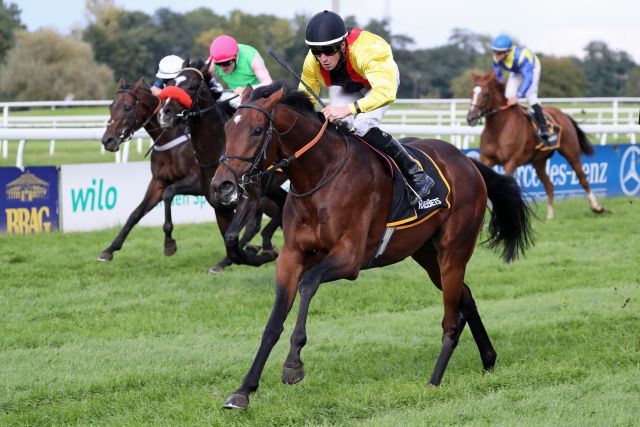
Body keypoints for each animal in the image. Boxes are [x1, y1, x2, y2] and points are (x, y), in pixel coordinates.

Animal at [210, 84, 536, 412]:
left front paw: (293, 365)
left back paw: (434, 381)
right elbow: (273, 323)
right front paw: (244, 390)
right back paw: (488, 359)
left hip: (453, 251)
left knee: (451, 319)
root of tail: (467, 161)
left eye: (257, 130)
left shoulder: (350, 258)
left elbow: (309, 283)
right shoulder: (291, 257)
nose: (221, 185)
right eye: (226, 128)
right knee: (465, 298)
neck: (320, 177)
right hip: (427, 255)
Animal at [468, 71, 604, 221]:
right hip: (539, 162)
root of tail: (563, 114)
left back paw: (596, 207)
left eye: (486, 94)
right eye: (472, 92)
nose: (471, 118)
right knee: (549, 185)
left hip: (570, 152)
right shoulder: (486, 159)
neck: (499, 129)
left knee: (582, 178)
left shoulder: (510, 163)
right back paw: (550, 216)